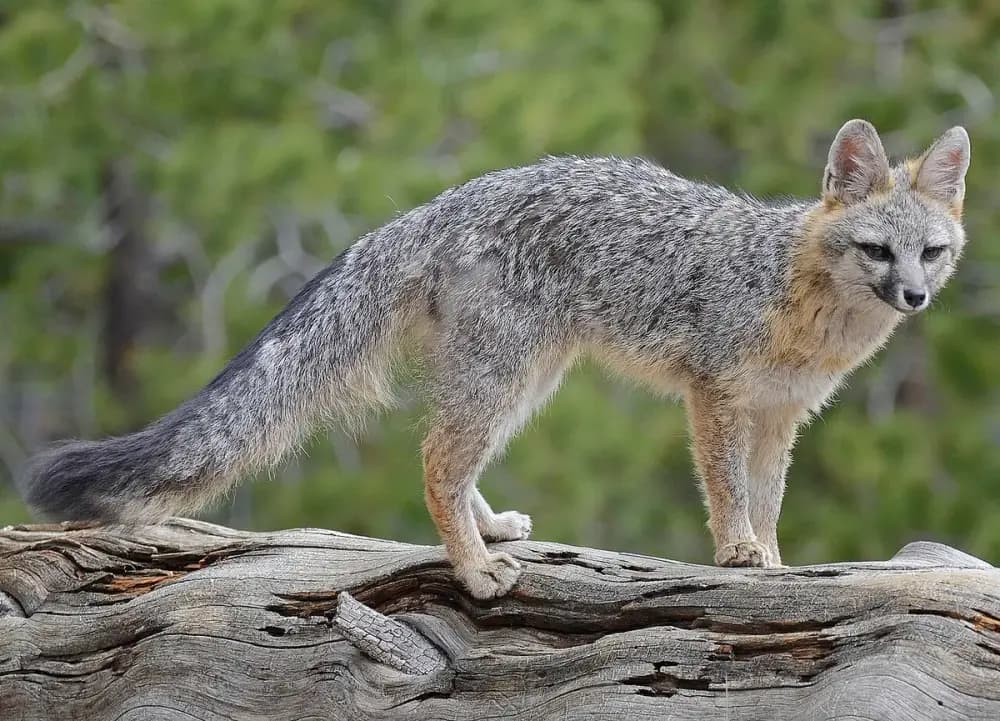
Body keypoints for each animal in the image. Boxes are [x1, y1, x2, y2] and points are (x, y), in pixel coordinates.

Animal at [21, 119, 970, 599]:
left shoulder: (781, 414)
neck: (795, 292)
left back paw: (488, 532)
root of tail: (437, 203)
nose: (914, 299)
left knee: (453, 457)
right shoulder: (717, 396)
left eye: (933, 253)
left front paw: (773, 560)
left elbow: (769, 500)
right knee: (437, 459)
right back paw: (474, 568)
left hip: (527, 380)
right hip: (509, 376)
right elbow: (730, 491)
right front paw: (739, 554)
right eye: (878, 250)